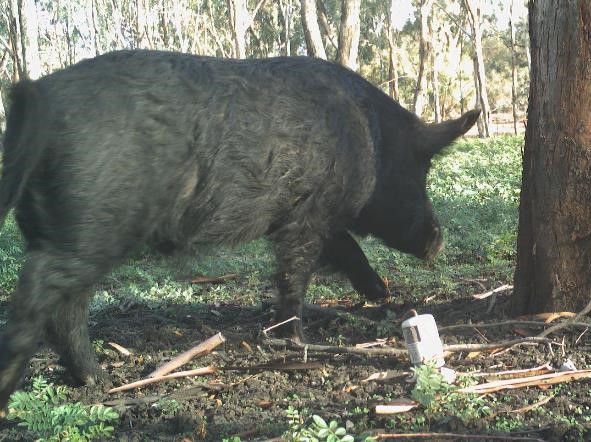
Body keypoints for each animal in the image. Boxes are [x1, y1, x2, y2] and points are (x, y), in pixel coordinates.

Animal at [0, 49, 480, 408]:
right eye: (420, 170)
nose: (437, 240)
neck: (372, 140)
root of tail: (36, 93)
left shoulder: (304, 214)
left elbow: (343, 248)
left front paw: (378, 293)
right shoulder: (307, 216)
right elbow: (296, 272)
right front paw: (295, 338)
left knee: (65, 307)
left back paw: (97, 380)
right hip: (91, 227)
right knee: (39, 293)